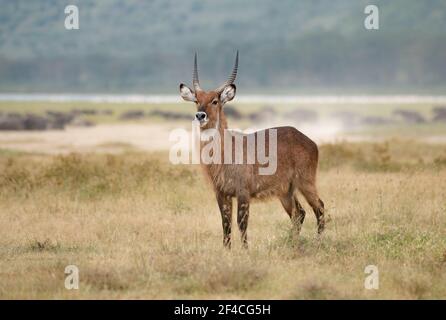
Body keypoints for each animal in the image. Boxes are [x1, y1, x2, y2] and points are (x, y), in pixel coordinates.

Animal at [179, 52, 324, 248]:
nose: (200, 115)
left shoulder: (243, 193)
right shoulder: (221, 194)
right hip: (286, 191)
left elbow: (242, 224)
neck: (225, 153)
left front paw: (245, 250)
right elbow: (226, 224)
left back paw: (317, 243)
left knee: (319, 208)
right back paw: (294, 244)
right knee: (299, 214)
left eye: (215, 101)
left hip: (305, 182)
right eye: (197, 100)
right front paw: (227, 251)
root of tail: (309, 140)